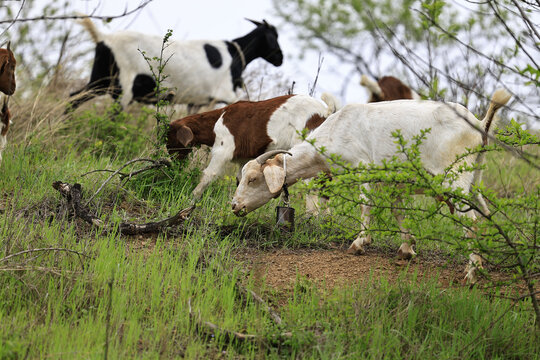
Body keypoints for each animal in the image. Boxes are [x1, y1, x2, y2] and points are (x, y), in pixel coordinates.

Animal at [68, 17, 282, 109]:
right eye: (274, 36)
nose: (280, 58)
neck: (235, 53)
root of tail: (103, 38)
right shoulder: (226, 94)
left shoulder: (198, 101)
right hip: (124, 87)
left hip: (100, 80)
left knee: (73, 98)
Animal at [169, 92, 338, 202]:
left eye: (170, 138)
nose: (173, 161)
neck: (216, 122)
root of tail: (326, 111)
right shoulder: (244, 159)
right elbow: (241, 179)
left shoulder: (223, 150)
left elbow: (208, 175)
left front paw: (191, 199)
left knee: (313, 183)